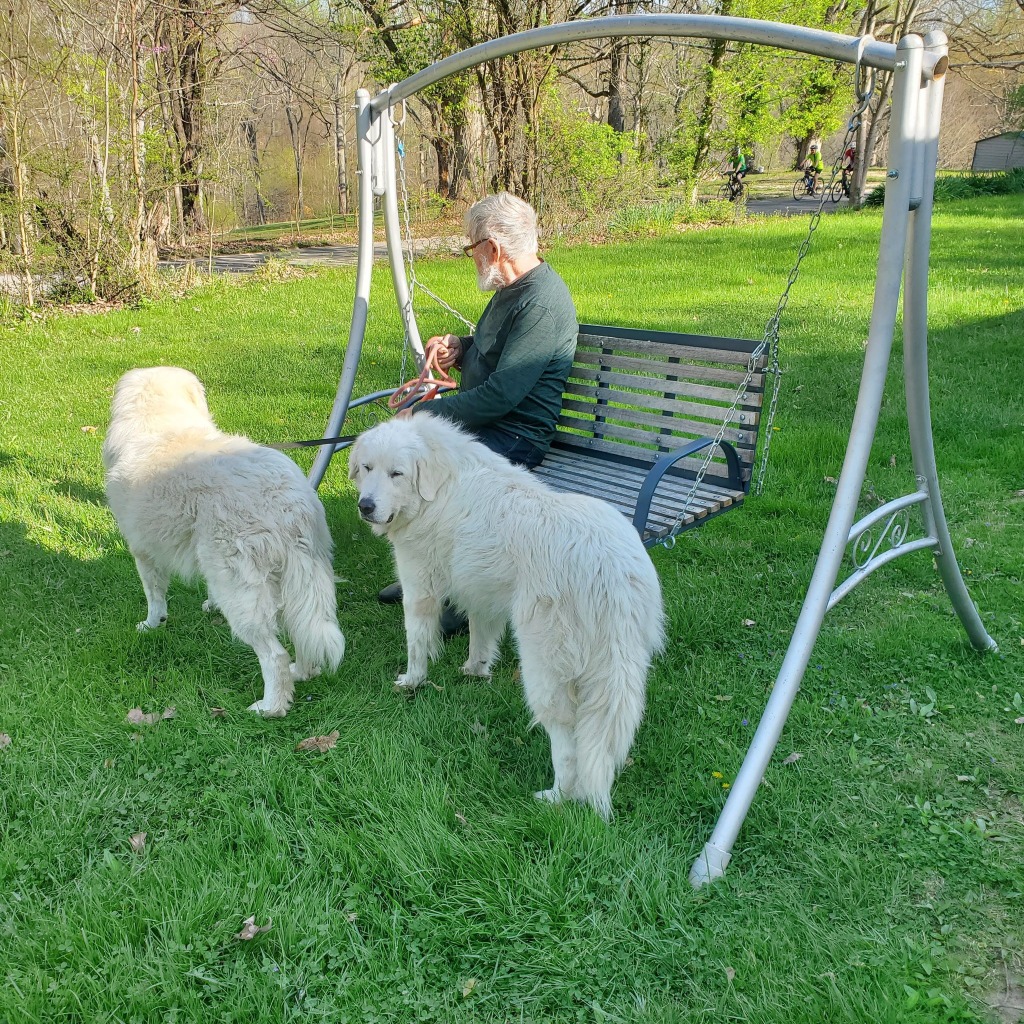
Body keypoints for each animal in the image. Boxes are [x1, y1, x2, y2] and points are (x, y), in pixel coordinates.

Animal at [103, 367, 345, 717]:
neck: (159, 416)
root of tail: (286, 498)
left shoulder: (145, 552)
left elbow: (154, 596)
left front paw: (152, 624)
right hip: (298, 578)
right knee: (303, 631)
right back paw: (302, 672)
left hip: (242, 593)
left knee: (274, 656)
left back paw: (270, 707)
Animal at [349, 413, 665, 818]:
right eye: (367, 468)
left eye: (397, 474)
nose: (365, 506)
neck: (442, 485)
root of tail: (606, 566)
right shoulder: (482, 596)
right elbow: (481, 639)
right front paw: (475, 672)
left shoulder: (420, 588)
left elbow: (417, 643)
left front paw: (412, 681)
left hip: (545, 671)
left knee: (567, 744)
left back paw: (557, 797)